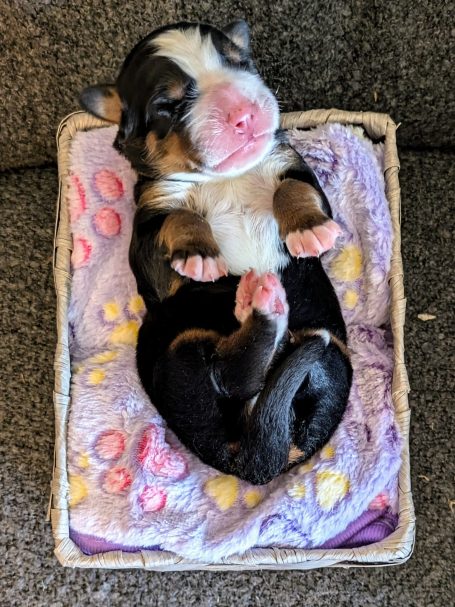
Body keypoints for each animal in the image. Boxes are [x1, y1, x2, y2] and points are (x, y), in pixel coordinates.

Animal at [80, 20, 352, 485]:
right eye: (167, 105)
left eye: (240, 64)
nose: (243, 111)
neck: (225, 179)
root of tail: (248, 459)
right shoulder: (148, 228)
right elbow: (179, 217)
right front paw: (201, 255)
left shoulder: (294, 165)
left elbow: (291, 188)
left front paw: (310, 231)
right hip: (174, 346)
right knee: (228, 374)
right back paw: (261, 304)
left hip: (332, 356)